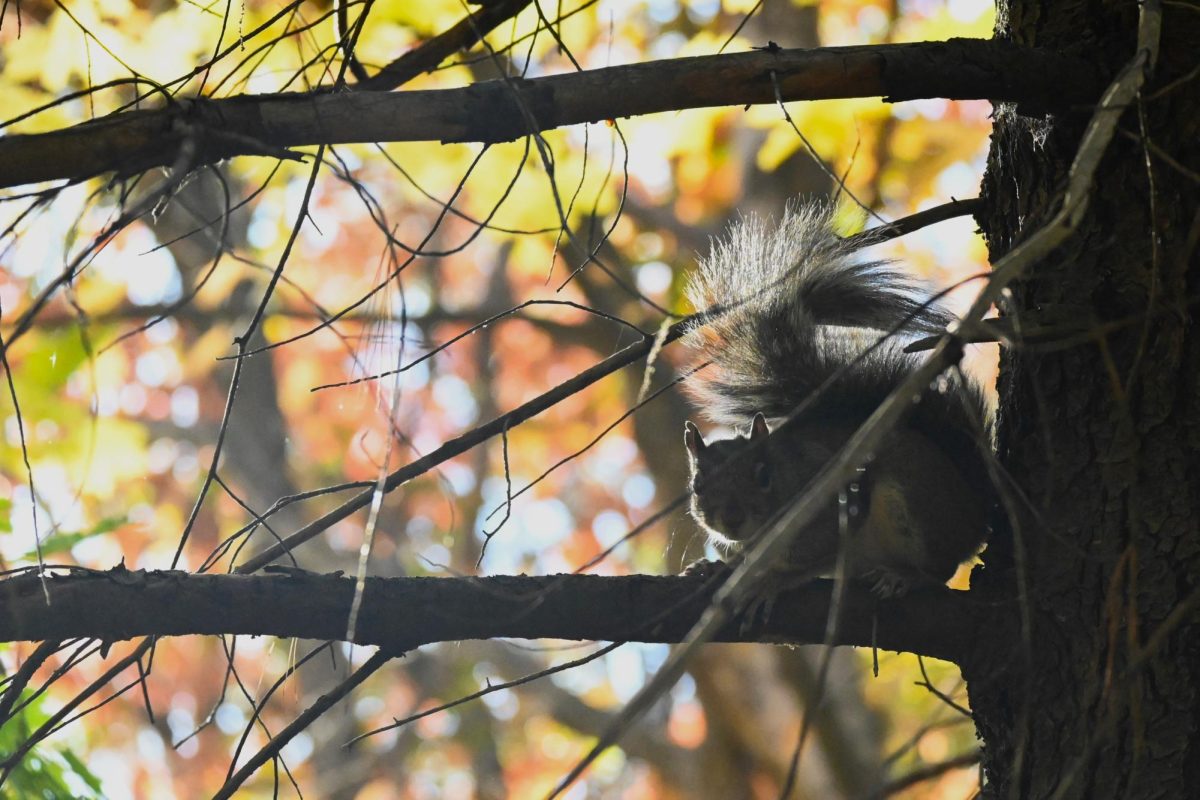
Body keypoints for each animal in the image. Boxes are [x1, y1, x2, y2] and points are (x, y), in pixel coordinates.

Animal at [686, 203, 993, 597]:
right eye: (697, 486)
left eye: (764, 475)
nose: (733, 520)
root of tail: (975, 519)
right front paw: (715, 568)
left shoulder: (837, 505)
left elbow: (816, 557)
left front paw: (773, 580)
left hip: (917, 497)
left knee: (941, 567)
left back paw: (907, 576)